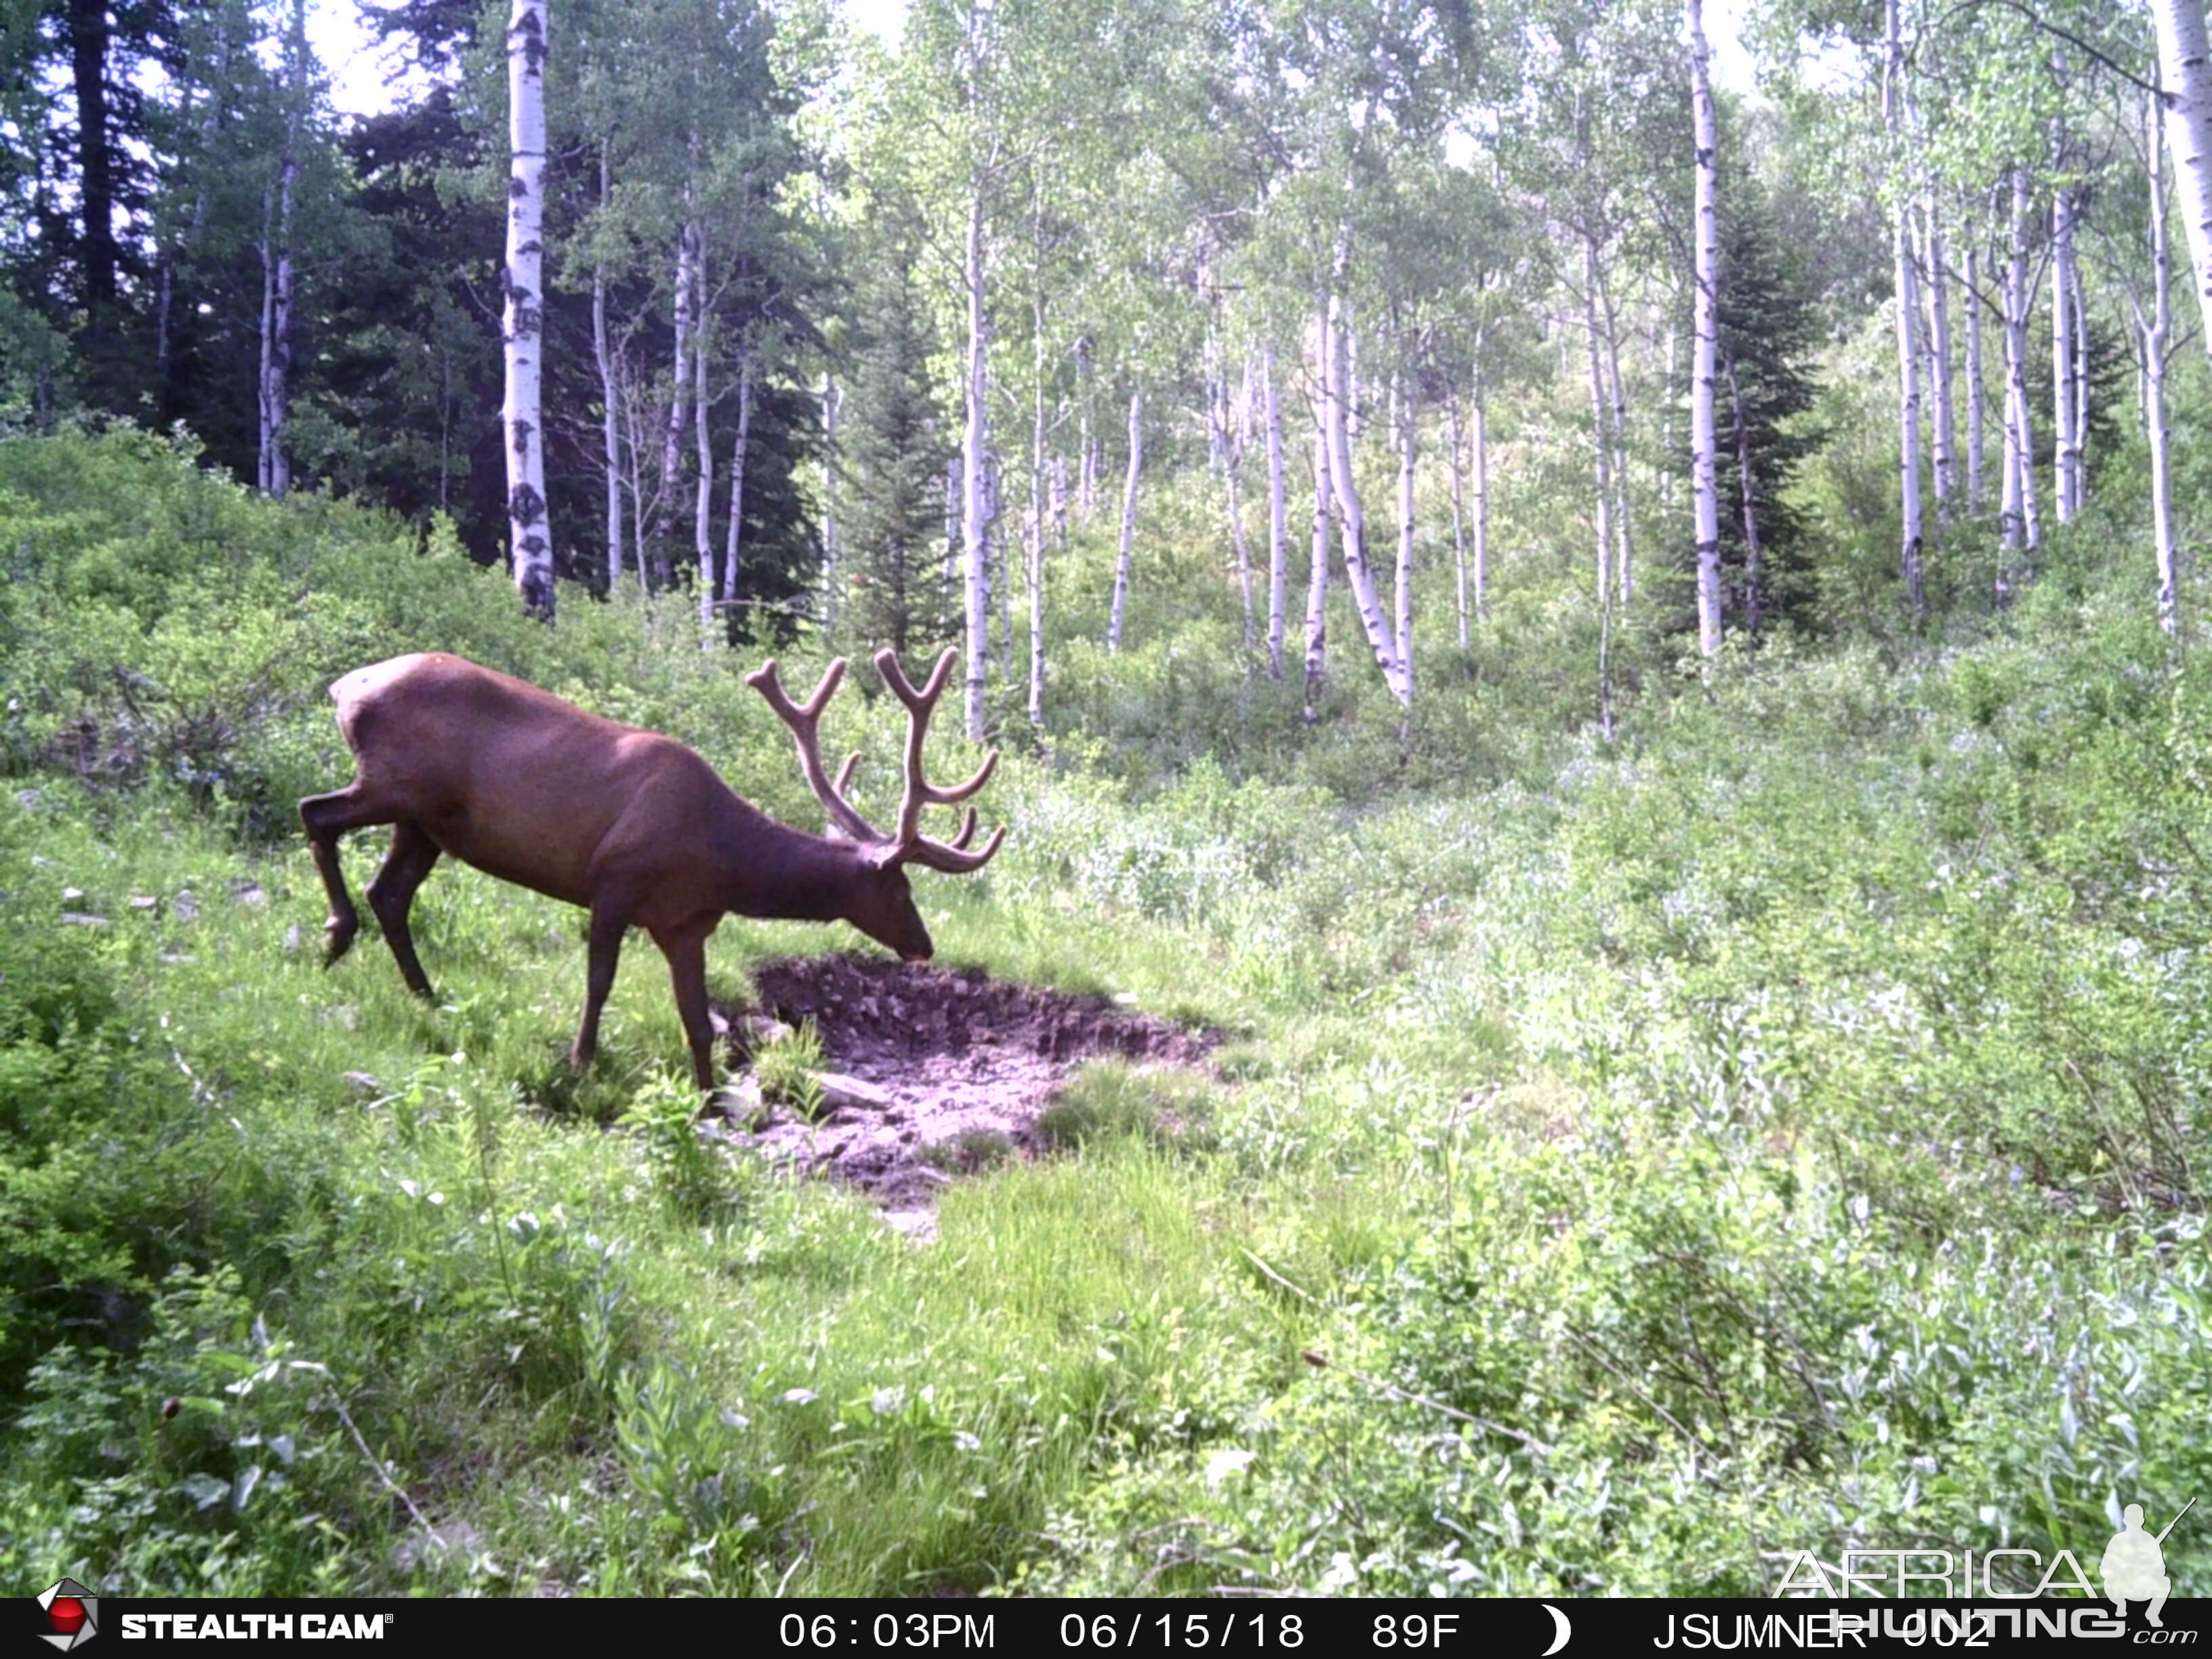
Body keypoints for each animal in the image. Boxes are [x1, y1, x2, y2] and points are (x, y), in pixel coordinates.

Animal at [298, 646, 1008, 1092]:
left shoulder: (685, 924)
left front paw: (710, 1099)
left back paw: (425, 994)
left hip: (424, 823)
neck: (722, 862)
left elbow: (696, 1018)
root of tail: (344, 687)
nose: (924, 945)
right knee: (316, 813)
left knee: (389, 893)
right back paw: (336, 935)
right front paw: (581, 1062)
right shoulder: (614, 883)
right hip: (395, 785)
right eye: (899, 886)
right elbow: (599, 982)